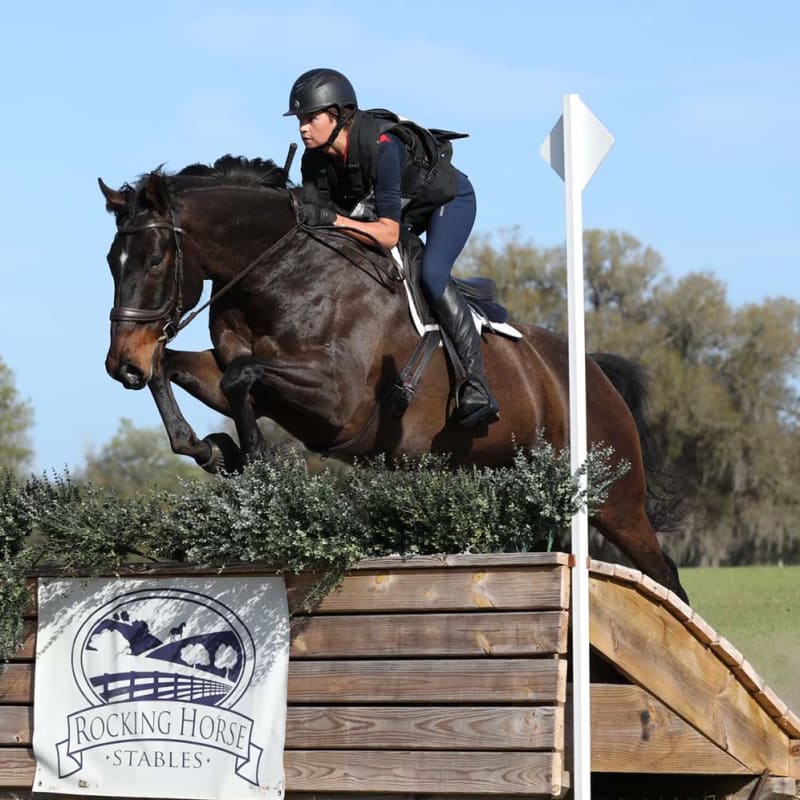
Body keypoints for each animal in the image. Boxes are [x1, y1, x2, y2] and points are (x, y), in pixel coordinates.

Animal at [98, 155, 688, 600]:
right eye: (111, 260)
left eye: (154, 259)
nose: (121, 363)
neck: (280, 273)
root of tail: (594, 372)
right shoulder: (251, 381)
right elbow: (187, 371)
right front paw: (216, 451)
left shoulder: (339, 404)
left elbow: (242, 377)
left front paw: (254, 466)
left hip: (615, 502)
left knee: (666, 576)